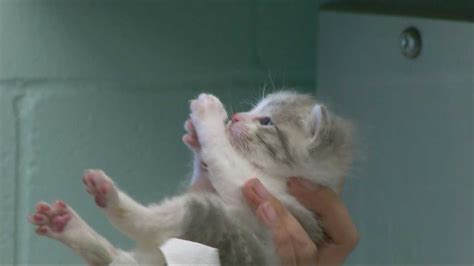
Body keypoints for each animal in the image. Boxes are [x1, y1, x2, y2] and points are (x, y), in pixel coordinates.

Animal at [28, 91, 352, 264]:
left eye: (266, 121)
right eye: (255, 109)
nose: (235, 117)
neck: (274, 174)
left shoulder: (269, 196)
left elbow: (225, 160)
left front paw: (208, 119)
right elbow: (210, 167)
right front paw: (197, 139)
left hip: (225, 234)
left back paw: (107, 197)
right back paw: (65, 224)